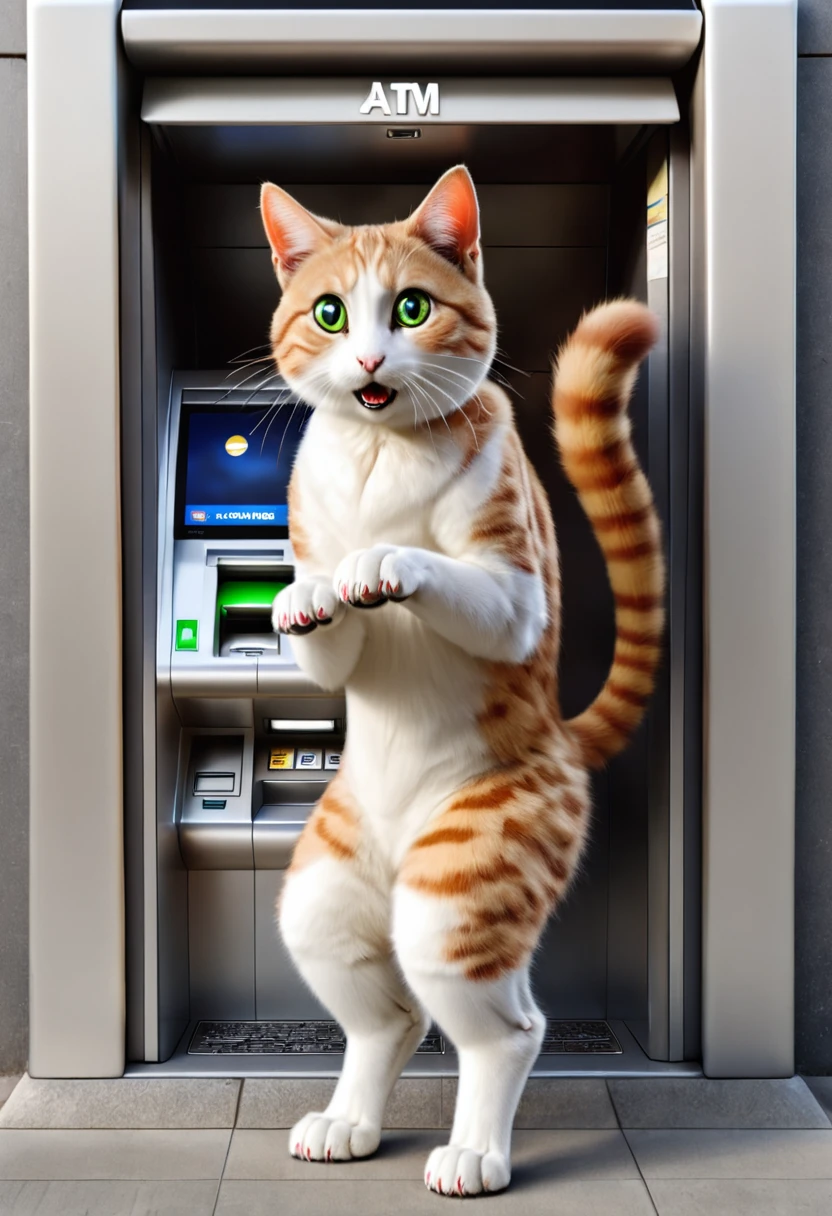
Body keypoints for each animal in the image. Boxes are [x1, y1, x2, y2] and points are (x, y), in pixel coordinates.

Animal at [260, 164, 661, 1196]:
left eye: (411, 307)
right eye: (329, 312)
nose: (367, 360)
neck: (378, 453)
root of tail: (564, 735)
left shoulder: (513, 588)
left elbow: (451, 578)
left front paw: (385, 562)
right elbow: (325, 638)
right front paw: (307, 593)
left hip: (460, 886)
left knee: (508, 1031)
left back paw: (476, 1149)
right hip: (324, 889)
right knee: (392, 1016)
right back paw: (349, 1120)